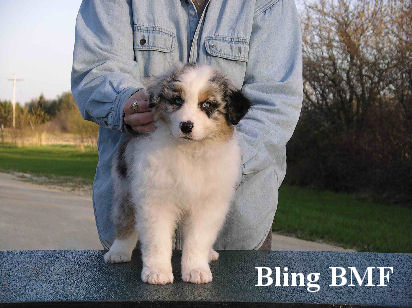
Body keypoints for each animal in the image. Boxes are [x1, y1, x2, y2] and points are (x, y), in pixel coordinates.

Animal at [104, 64, 251, 284]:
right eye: (177, 101)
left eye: (207, 104)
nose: (186, 126)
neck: (190, 151)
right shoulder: (156, 200)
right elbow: (157, 240)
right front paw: (157, 272)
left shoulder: (207, 205)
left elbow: (198, 240)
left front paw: (196, 269)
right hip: (124, 187)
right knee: (125, 220)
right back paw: (118, 251)